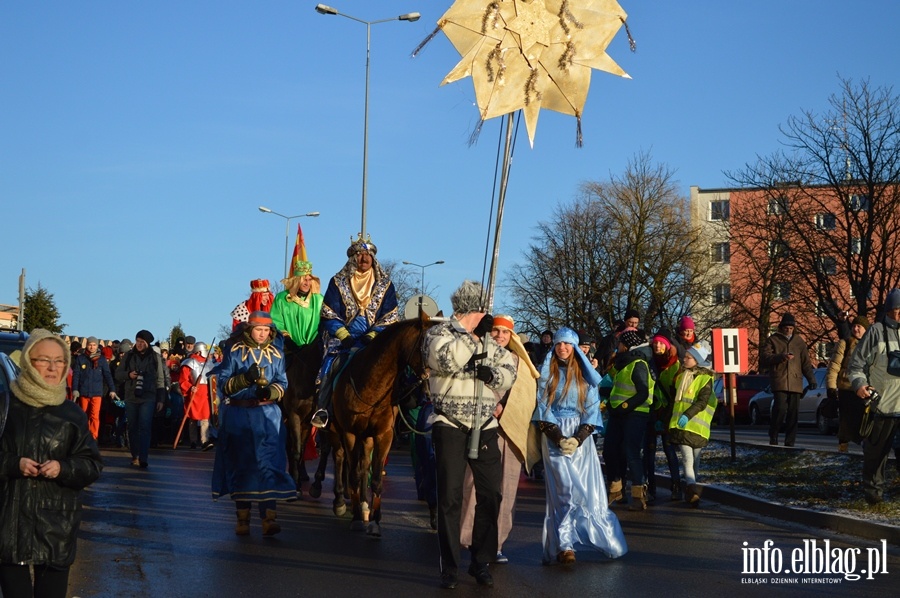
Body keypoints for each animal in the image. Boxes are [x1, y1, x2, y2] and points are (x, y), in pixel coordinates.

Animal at [330, 312, 436, 536]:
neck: (372, 385)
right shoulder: (350, 433)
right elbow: (352, 474)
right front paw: (356, 519)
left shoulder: (383, 435)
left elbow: (376, 478)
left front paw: (374, 521)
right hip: (335, 431)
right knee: (340, 458)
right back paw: (341, 502)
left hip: (367, 438)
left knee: (364, 465)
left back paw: (362, 504)